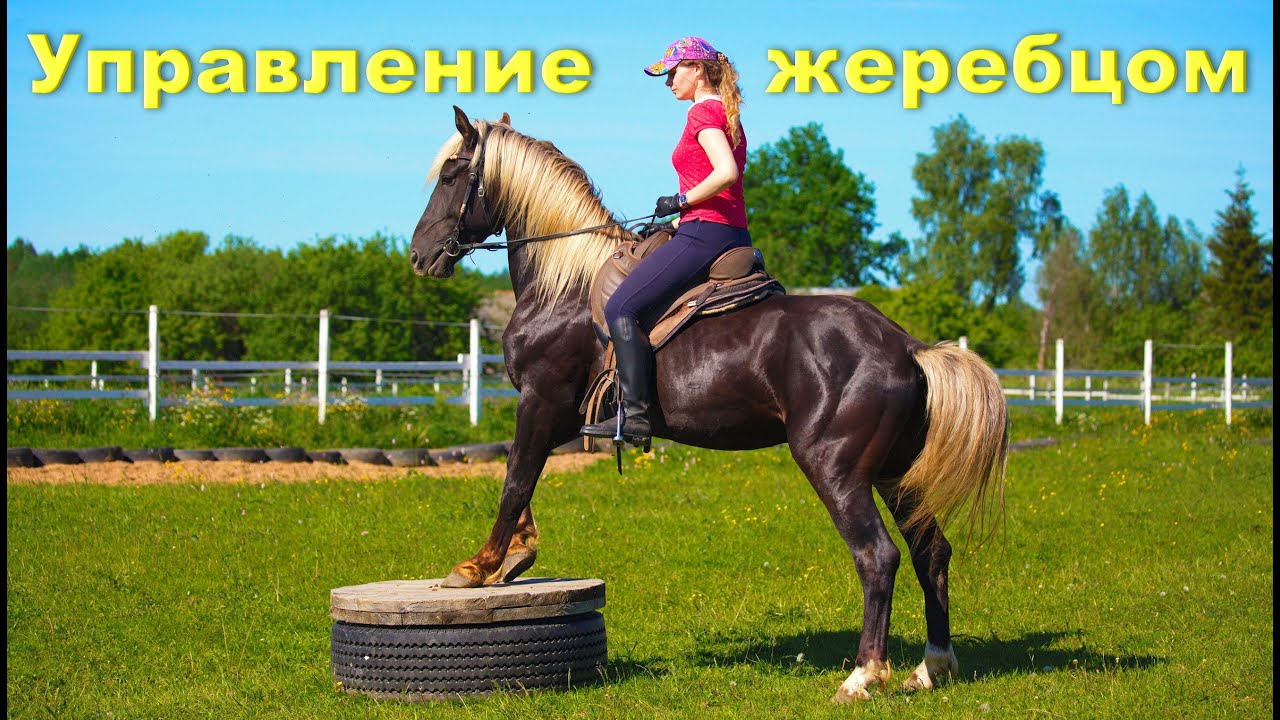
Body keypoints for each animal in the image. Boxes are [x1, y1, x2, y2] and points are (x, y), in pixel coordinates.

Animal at [409, 106, 1009, 703]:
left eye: (450, 176)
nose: (418, 256)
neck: (565, 286)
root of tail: (906, 345)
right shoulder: (553, 413)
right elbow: (522, 477)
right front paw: (518, 553)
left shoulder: (541, 401)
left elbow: (514, 478)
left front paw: (480, 565)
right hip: (894, 472)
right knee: (931, 551)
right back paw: (932, 666)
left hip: (835, 469)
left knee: (878, 557)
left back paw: (863, 675)